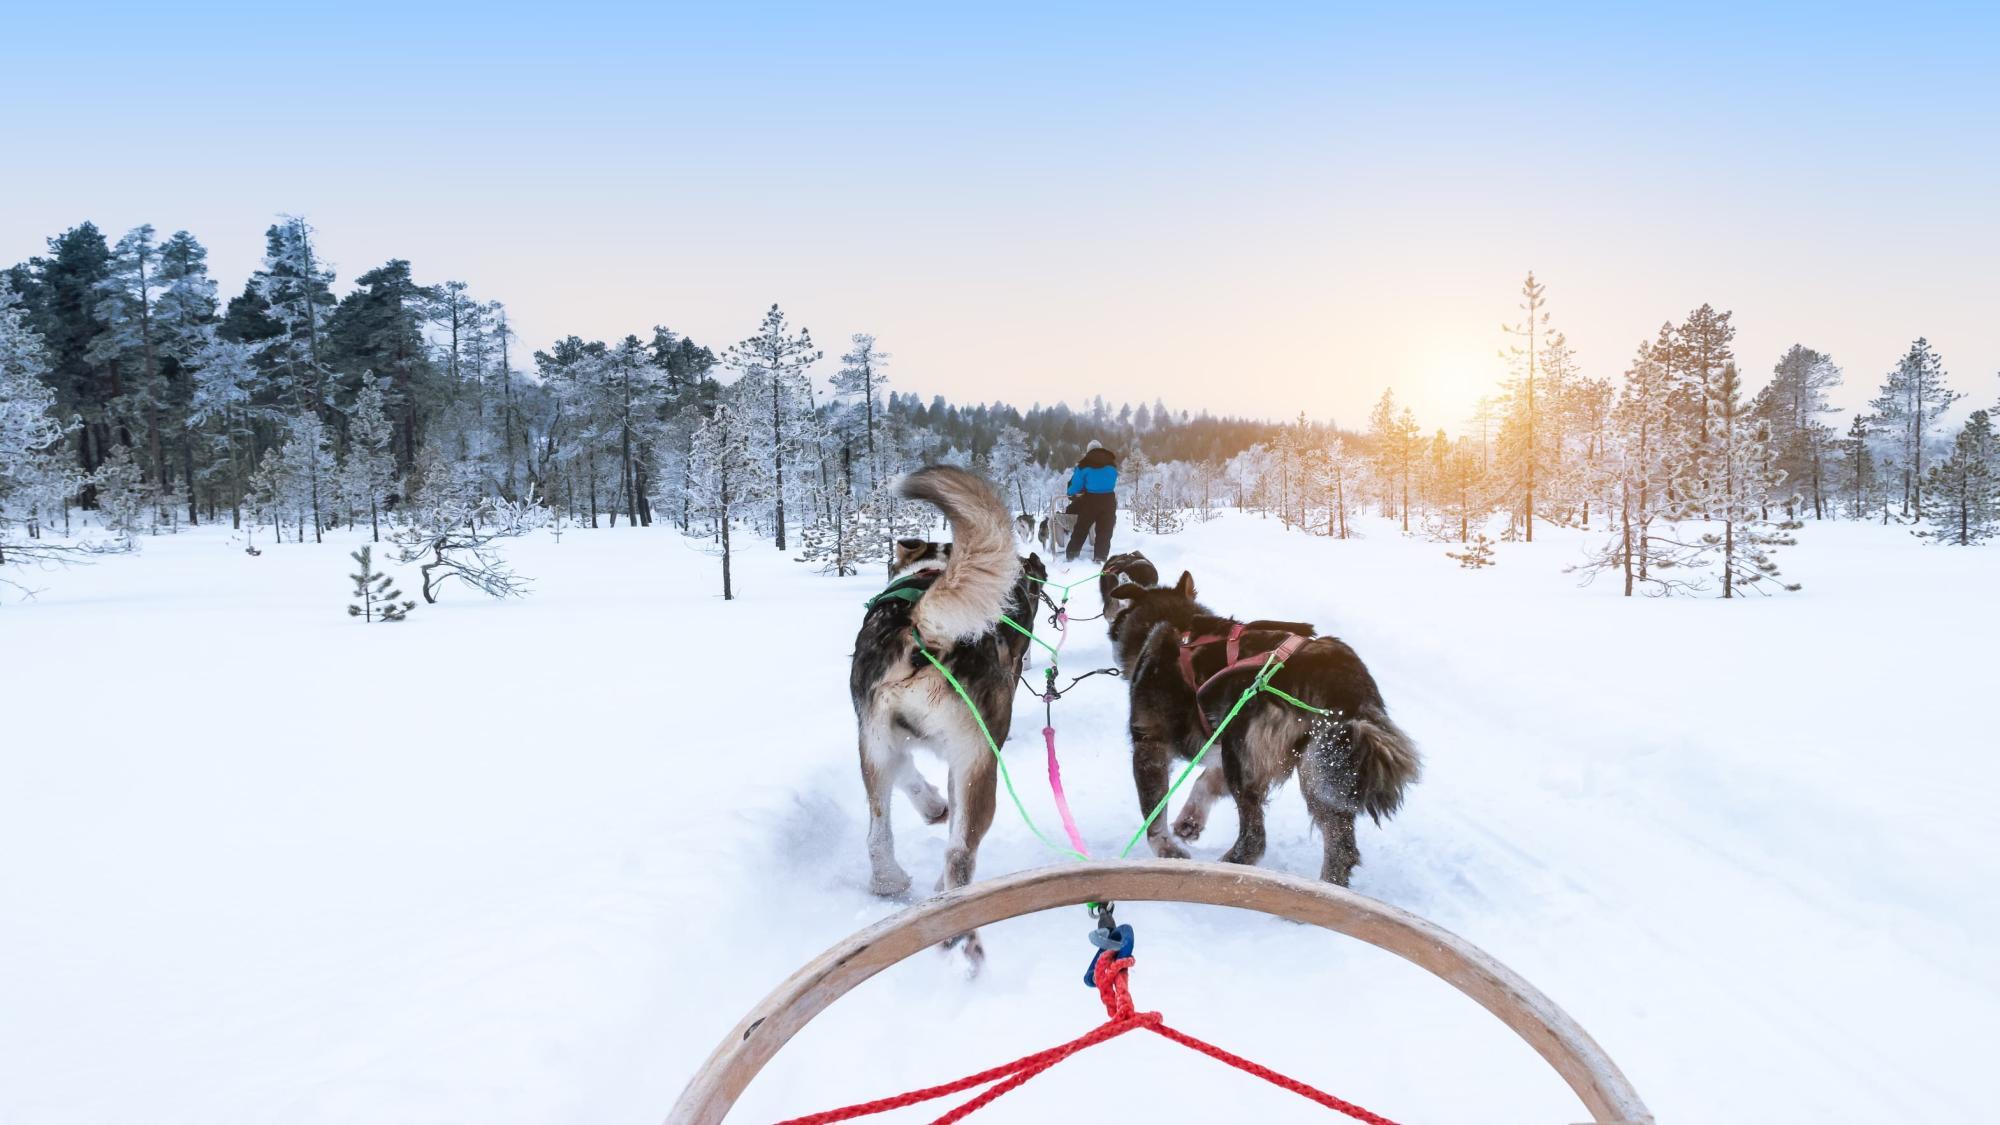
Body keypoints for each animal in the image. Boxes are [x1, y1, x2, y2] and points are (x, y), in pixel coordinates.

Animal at [848, 464, 1040, 964]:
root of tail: (921, 630)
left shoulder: (882, 737)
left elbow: (908, 774)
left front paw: (932, 805)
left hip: (873, 743)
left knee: (877, 835)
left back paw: (890, 881)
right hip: (978, 763)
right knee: (959, 854)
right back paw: (953, 920)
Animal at [1104, 568, 1416, 884]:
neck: (1178, 625)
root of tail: (1338, 683)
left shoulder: (1151, 744)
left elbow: (1154, 813)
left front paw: (1166, 849)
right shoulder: (1222, 746)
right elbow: (1205, 781)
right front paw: (1190, 820)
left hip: (1245, 758)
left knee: (1254, 839)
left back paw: (1227, 868)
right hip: (1323, 771)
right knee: (1341, 847)